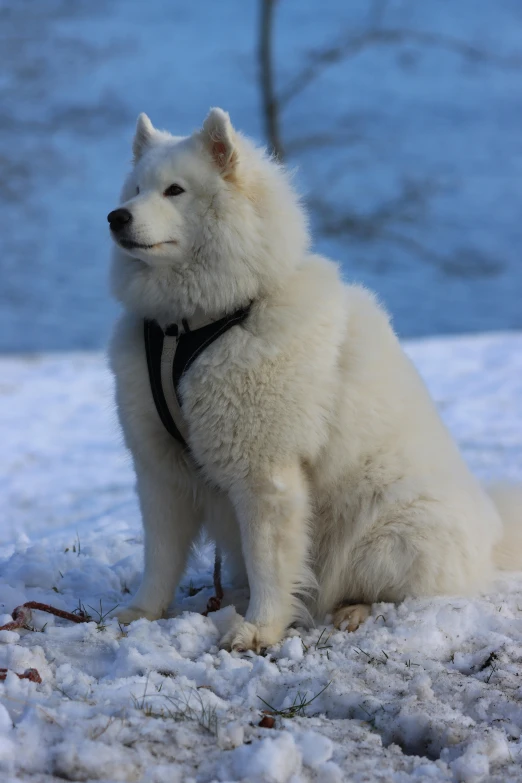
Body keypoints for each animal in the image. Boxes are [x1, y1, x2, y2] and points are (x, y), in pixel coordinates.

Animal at [107, 107, 516, 652]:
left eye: (175, 190)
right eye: (134, 189)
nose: (116, 217)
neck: (191, 327)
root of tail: (496, 539)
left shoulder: (264, 473)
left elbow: (270, 561)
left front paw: (259, 628)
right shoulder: (160, 467)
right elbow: (160, 554)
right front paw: (142, 612)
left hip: (394, 535)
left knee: (382, 589)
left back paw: (350, 611)